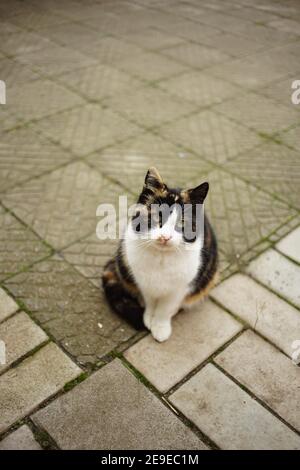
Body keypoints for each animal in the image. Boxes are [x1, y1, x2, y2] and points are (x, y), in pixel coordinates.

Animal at [102, 168, 217, 342]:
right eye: (157, 217)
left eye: (182, 223)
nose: (165, 237)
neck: (161, 259)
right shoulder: (144, 282)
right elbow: (150, 301)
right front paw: (148, 317)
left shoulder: (180, 288)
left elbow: (165, 308)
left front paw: (161, 327)